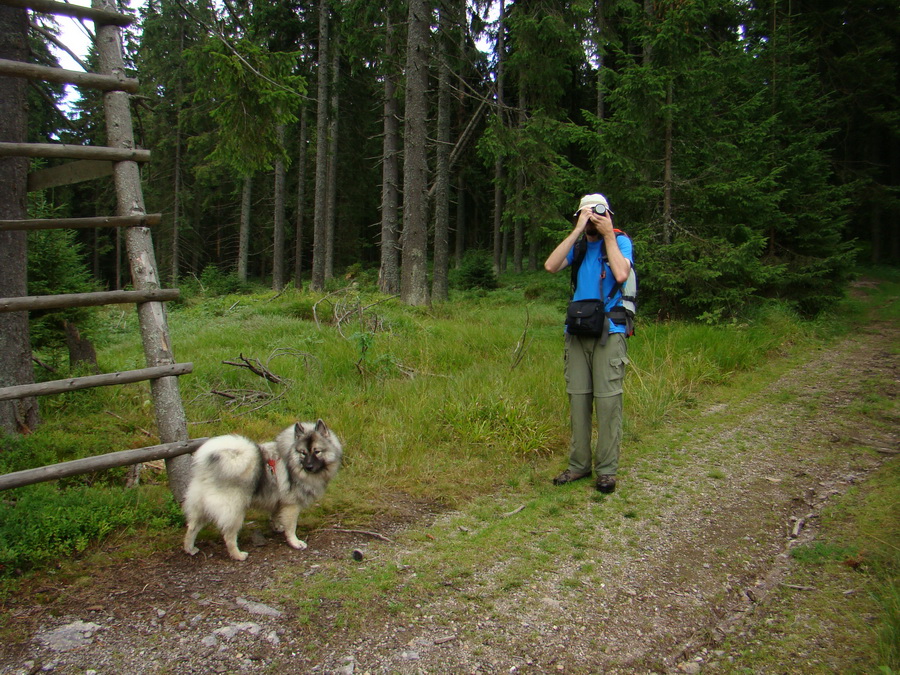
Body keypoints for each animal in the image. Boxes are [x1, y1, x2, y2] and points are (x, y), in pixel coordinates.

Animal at [182, 422, 342, 560]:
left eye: (317, 451)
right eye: (303, 453)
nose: (308, 466)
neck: (292, 461)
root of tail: (207, 472)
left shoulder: (279, 501)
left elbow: (275, 515)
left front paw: (277, 527)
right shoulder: (291, 505)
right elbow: (291, 527)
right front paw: (295, 542)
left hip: (201, 506)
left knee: (192, 527)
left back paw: (189, 548)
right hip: (235, 511)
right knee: (229, 535)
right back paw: (238, 555)